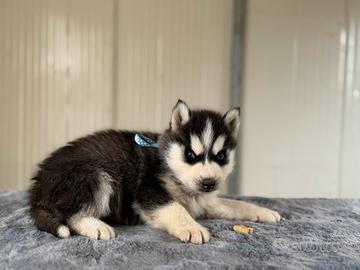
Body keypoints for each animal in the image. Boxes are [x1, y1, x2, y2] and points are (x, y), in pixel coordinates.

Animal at [29, 100, 280, 244]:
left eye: (221, 156)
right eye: (191, 155)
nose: (208, 183)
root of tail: (38, 187)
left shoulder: (204, 201)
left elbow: (234, 204)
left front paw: (264, 212)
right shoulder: (148, 191)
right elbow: (175, 207)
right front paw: (192, 227)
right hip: (94, 175)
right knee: (71, 215)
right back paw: (96, 226)